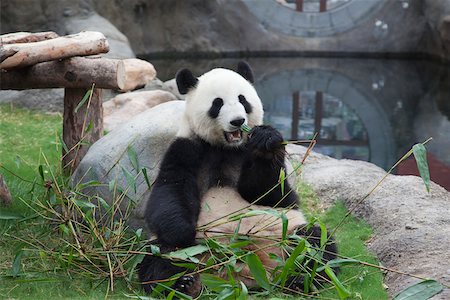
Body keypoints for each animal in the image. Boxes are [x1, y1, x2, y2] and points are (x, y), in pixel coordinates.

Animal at [138, 62, 338, 296]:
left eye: (243, 99)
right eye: (217, 103)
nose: (238, 121)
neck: (226, 148)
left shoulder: (245, 153)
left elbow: (268, 193)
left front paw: (265, 142)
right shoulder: (187, 148)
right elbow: (169, 191)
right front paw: (182, 232)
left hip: (286, 230)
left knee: (315, 243)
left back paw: (300, 278)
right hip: (179, 253)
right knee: (158, 257)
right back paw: (182, 284)